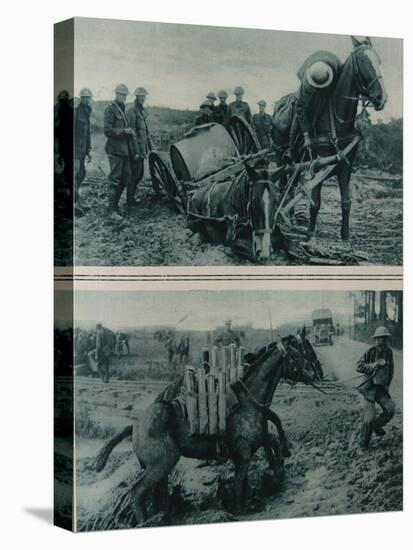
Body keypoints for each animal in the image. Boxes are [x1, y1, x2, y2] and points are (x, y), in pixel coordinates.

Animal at [94, 340, 312, 528]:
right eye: (296, 355)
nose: (313, 374)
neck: (249, 402)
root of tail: (135, 426)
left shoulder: (253, 444)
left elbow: (271, 442)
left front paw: (280, 469)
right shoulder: (243, 455)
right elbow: (239, 483)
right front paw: (239, 508)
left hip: (158, 466)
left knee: (157, 490)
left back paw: (162, 516)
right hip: (161, 463)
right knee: (137, 491)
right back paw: (145, 521)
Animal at [274, 35, 386, 240]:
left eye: (379, 61)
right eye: (363, 61)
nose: (381, 97)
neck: (337, 121)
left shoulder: (346, 165)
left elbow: (347, 200)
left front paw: (345, 235)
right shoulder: (318, 163)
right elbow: (315, 202)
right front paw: (310, 233)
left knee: (291, 187)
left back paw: (291, 219)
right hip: (280, 158)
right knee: (283, 186)